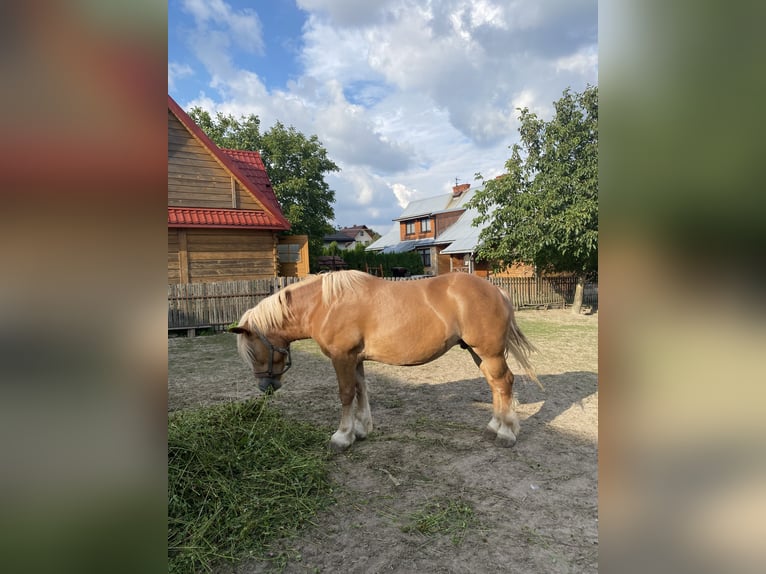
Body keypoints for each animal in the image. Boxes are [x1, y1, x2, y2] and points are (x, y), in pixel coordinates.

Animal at [230, 272, 540, 454]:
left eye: (254, 352)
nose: (266, 388)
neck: (325, 304)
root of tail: (498, 291)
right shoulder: (355, 359)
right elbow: (361, 390)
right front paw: (361, 429)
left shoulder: (342, 357)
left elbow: (346, 394)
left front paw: (342, 436)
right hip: (478, 352)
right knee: (495, 385)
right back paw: (494, 426)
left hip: (489, 352)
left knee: (504, 382)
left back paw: (506, 433)